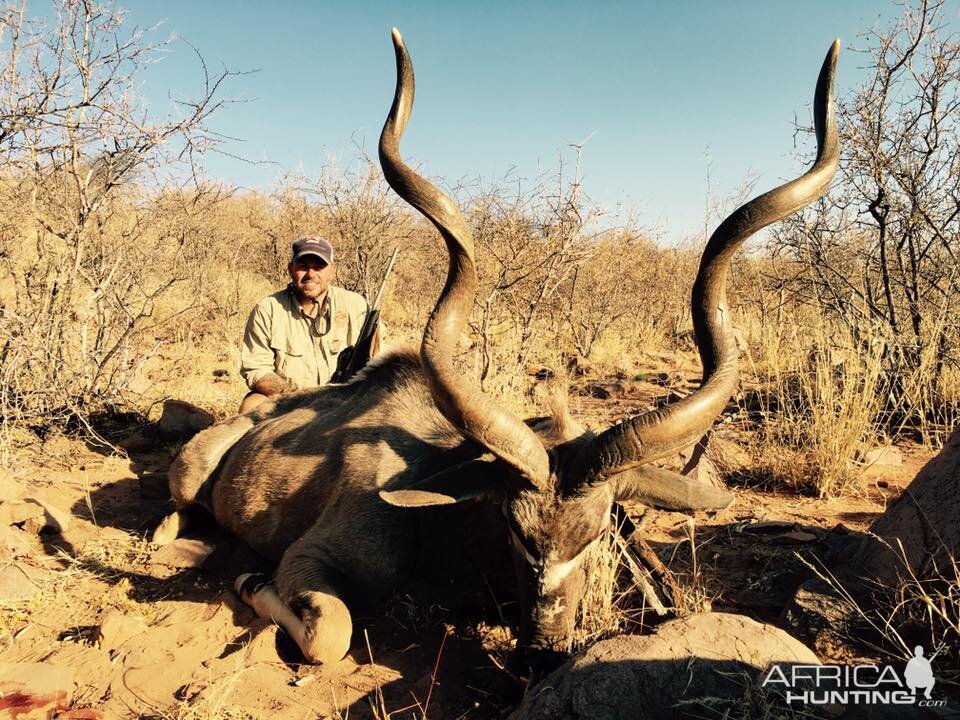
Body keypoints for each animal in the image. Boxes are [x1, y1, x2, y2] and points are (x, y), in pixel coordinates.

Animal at [156, 32, 840, 664]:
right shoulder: (312, 555)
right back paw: (181, 537)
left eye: (597, 533)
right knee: (180, 511)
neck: (439, 515)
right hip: (191, 476)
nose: (545, 642)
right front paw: (247, 578)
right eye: (514, 528)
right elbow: (330, 633)